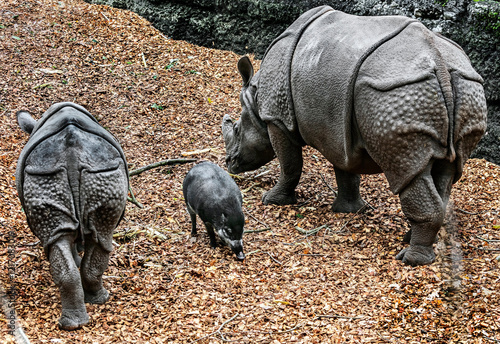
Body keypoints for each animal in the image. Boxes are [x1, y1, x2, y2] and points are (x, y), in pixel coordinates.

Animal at [16, 103, 128, 330]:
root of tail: (72, 152)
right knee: (100, 236)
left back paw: (79, 317)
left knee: (87, 237)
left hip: (51, 173)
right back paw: (90, 309)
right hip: (94, 172)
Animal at [223, 6, 488, 268]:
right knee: (446, 171)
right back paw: (411, 239)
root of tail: (440, 65)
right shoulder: (336, 129)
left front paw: (271, 200)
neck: (256, 98)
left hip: (396, 91)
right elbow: (346, 170)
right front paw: (348, 210)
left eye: (235, 130)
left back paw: (410, 259)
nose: (229, 164)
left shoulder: (277, 119)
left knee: (408, 169)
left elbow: (290, 165)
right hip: (466, 87)